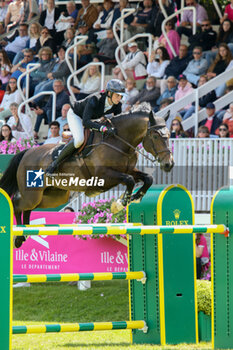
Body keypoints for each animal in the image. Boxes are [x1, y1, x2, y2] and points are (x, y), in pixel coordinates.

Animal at [0, 102, 173, 247]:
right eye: (155, 136)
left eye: (170, 135)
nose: (169, 164)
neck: (118, 142)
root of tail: (28, 151)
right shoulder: (104, 176)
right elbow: (130, 180)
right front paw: (119, 204)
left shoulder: (127, 171)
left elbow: (147, 178)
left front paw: (136, 197)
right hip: (33, 193)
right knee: (17, 204)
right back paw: (19, 236)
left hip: (53, 197)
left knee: (28, 208)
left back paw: (23, 233)